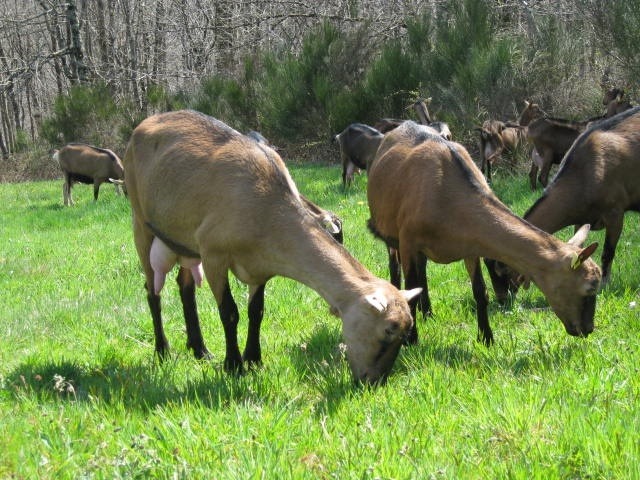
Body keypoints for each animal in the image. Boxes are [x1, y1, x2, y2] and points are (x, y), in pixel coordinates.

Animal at [125, 110, 424, 384]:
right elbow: (229, 312)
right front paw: (234, 365)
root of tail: (144, 123)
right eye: (387, 332)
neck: (267, 209)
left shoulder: (260, 267)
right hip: (141, 222)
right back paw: (162, 350)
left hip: (182, 241)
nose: (373, 381)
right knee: (152, 291)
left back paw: (200, 350)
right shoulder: (213, 255)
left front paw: (253, 359)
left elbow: (256, 312)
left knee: (184, 286)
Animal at [368, 120, 604, 344]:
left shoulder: (470, 245)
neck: (448, 199)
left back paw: (428, 313)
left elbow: (480, 292)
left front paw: (486, 338)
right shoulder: (408, 240)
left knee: (423, 272)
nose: (587, 329)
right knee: (395, 267)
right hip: (390, 231)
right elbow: (411, 289)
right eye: (590, 288)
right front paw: (411, 339)